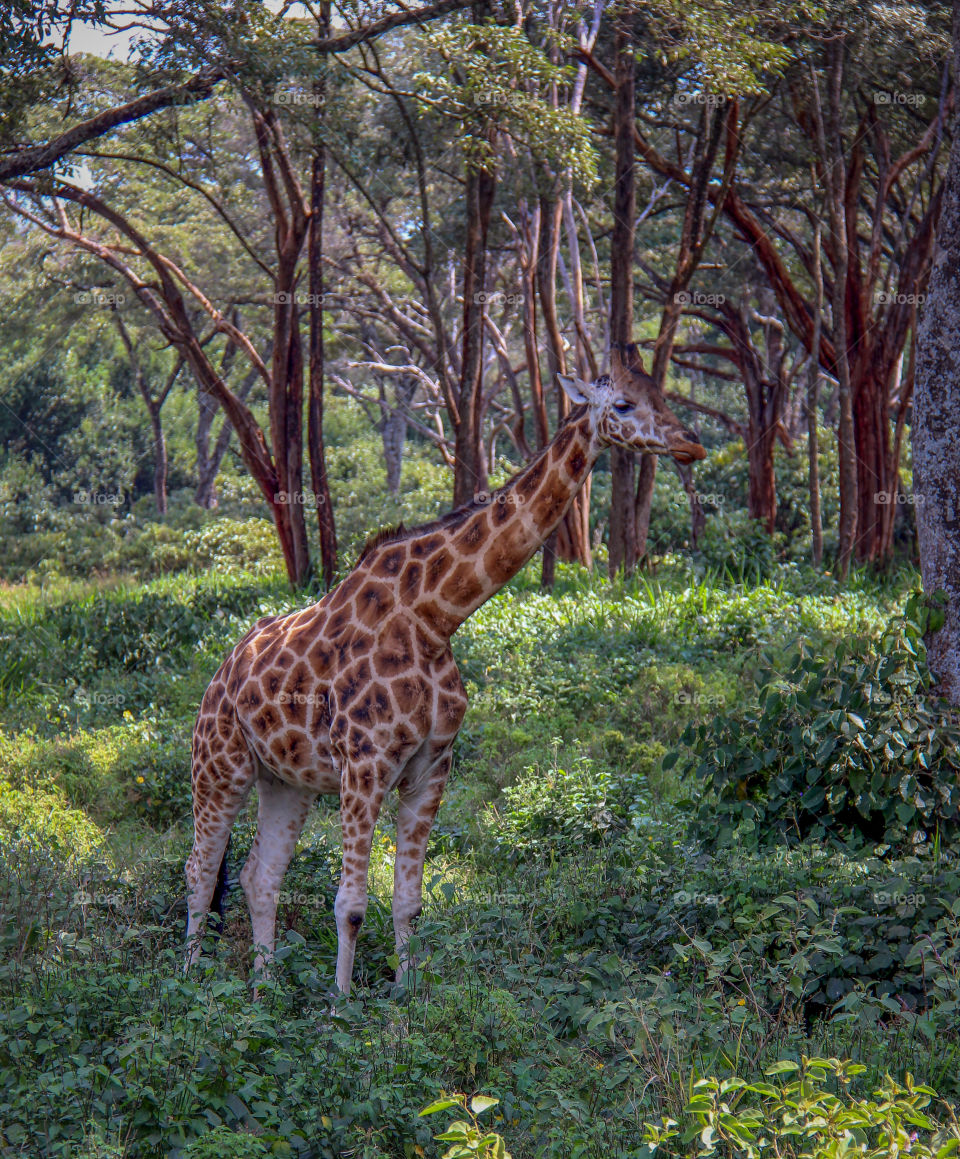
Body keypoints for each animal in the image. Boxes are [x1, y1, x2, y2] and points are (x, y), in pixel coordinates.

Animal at [185, 344, 705, 995]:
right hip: (219, 764)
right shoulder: (365, 766)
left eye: (664, 393)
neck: (436, 617)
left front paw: (406, 995)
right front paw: (341, 1004)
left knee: (259, 873)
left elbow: (408, 901)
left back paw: (265, 987)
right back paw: (187, 980)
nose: (692, 444)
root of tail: (218, 672)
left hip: (286, 781)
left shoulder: (432, 766)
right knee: (200, 870)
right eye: (627, 403)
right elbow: (350, 904)